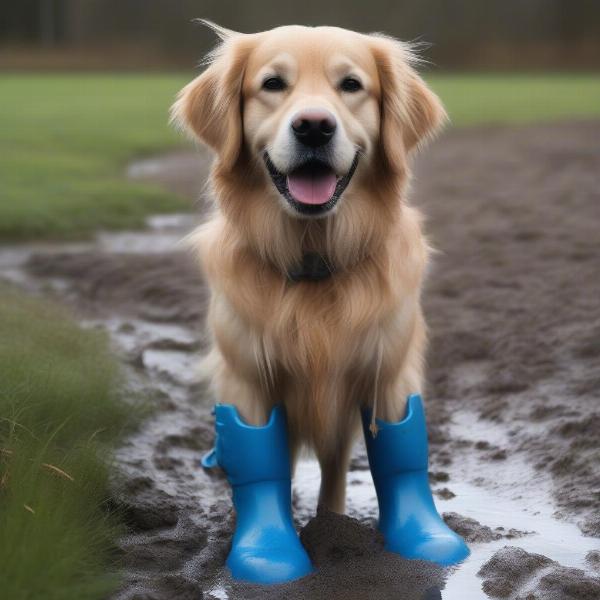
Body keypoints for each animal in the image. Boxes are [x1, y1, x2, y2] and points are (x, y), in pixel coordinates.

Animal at [171, 21, 442, 512]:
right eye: (272, 84)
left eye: (351, 85)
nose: (313, 126)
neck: (313, 260)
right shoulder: (249, 384)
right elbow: (265, 470)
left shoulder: (389, 379)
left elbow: (391, 460)